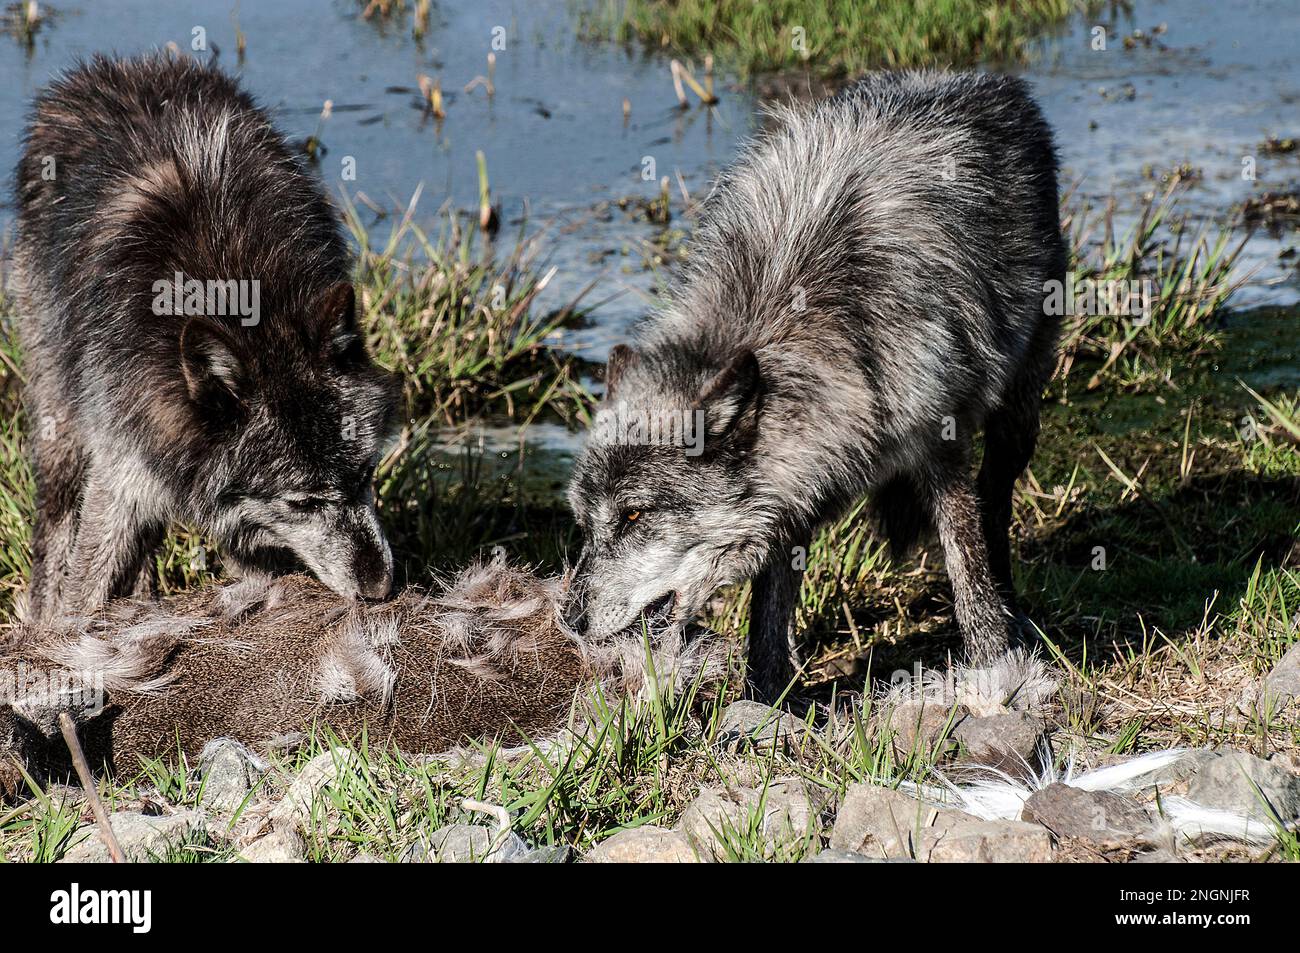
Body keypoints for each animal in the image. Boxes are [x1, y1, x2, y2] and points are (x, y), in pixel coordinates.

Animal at [12, 54, 398, 623]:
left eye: (367, 474)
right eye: (302, 502)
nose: (379, 589)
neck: (244, 293)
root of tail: (115, 67)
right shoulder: (122, 465)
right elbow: (88, 584)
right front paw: (69, 633)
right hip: (59, 419)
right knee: (56, 527)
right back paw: (44, 614)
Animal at [567, 71, 1066, 701]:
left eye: (633, 516)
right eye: (584, 522)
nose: (569, 619)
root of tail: (988, 81)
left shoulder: (938, 446)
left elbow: (965, 562)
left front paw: (995, 668)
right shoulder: (790, 488)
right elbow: (768, 607)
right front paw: (765, 697)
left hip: (1020, 407)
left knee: (995, 500)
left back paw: (1013, 610)